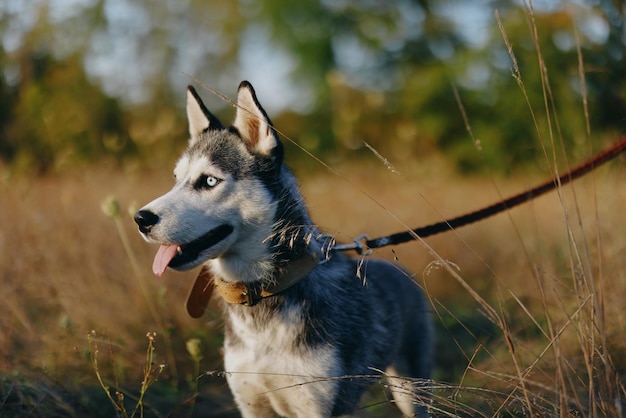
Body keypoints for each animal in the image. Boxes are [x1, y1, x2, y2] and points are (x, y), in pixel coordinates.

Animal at [134, 80, 432, 416]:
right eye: (176, 179)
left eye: (209, 181)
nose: (140, 218)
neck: (262, 292)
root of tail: (398, 269)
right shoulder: (251, 404)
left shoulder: (318, 405)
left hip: (411, 390)